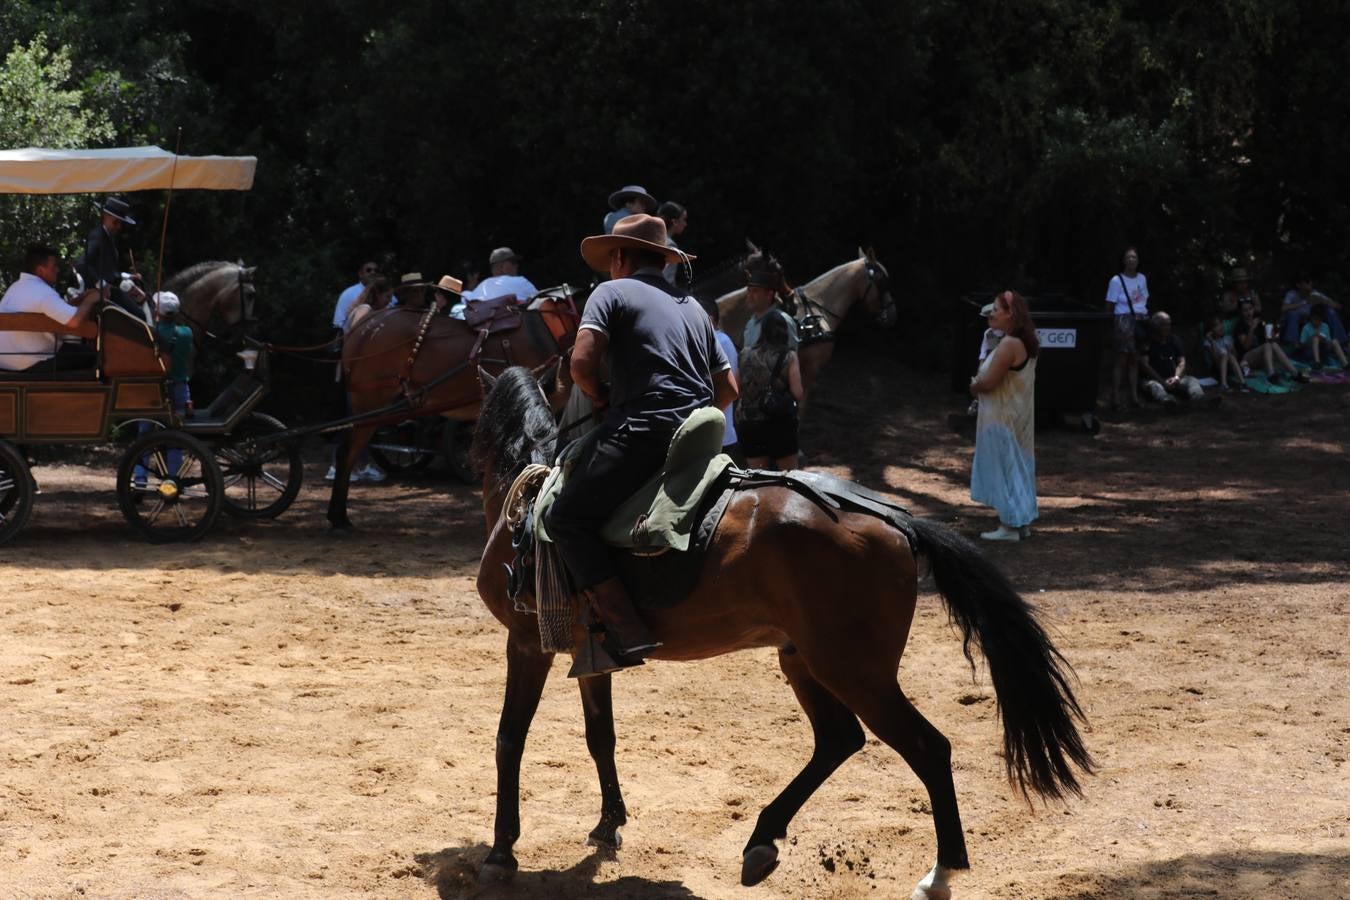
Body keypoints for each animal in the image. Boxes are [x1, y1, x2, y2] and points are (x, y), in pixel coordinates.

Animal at [469, 367, 1090, 900]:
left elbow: (508, 739)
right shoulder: (590, 654)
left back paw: (940, 874)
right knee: (839, 740)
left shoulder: (526, 645)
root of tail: (897, 521)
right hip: (804, 660)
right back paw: (763, 840)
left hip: (854, 671)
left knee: (926, 747)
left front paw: (502, 851)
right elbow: (601, 737)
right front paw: (608, 826)